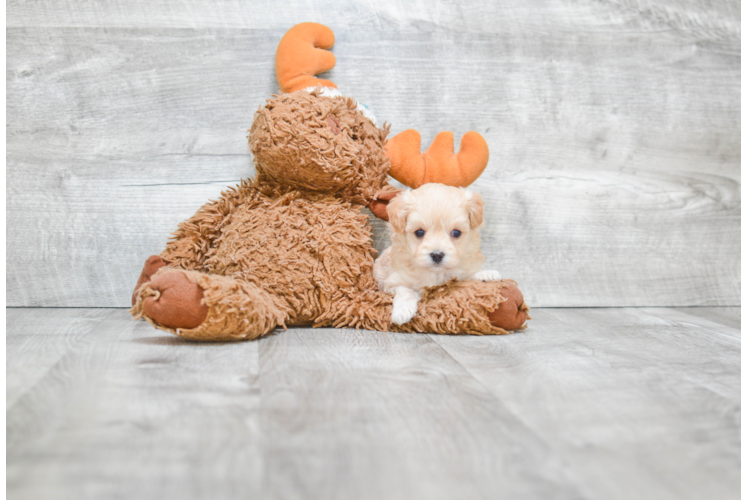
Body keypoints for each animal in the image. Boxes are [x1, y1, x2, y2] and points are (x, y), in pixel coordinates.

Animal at [374, 183, 502, 324]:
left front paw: (486, 273)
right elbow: (405, 290)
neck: (435, 273)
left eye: (456, 233)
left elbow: (468, 275)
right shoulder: (390, 282)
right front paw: (402, 311)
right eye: (419, 232)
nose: (437, 255)